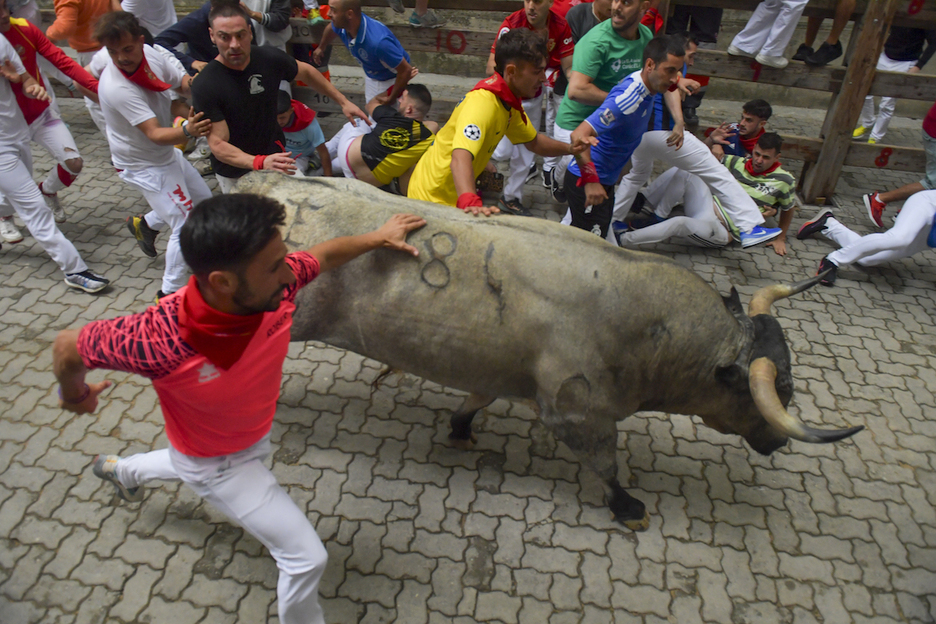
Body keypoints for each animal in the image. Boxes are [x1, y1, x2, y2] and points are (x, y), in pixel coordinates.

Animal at [234, 173, 864, 528]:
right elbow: (606, 463)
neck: (641, 319)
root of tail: (267, 188)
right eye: (775, 393)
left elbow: (478, 399)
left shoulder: (500, 371)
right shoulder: (576, 411)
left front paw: (460, 428)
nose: (779, 442)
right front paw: (627, 506)